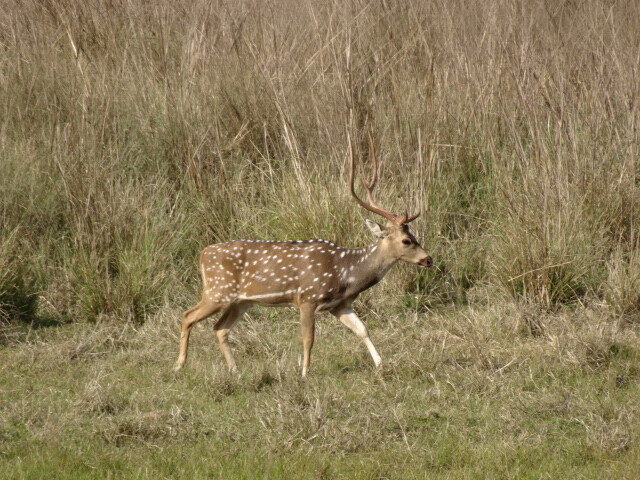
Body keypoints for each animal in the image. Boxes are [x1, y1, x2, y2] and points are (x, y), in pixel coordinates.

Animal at [175, 137, 432, 376]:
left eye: (414, 235)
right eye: (406, 240)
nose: (428, 259)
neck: (346, 272)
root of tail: (202, 254)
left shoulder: (340, 304)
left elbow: (363, 330)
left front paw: (381, 364)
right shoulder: (308, 297)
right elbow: (309, 338)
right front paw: (305, 372)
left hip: (240, 301)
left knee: (219, 328)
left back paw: (235, 370)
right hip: (218, 290)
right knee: (188, 315)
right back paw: (179, 365)